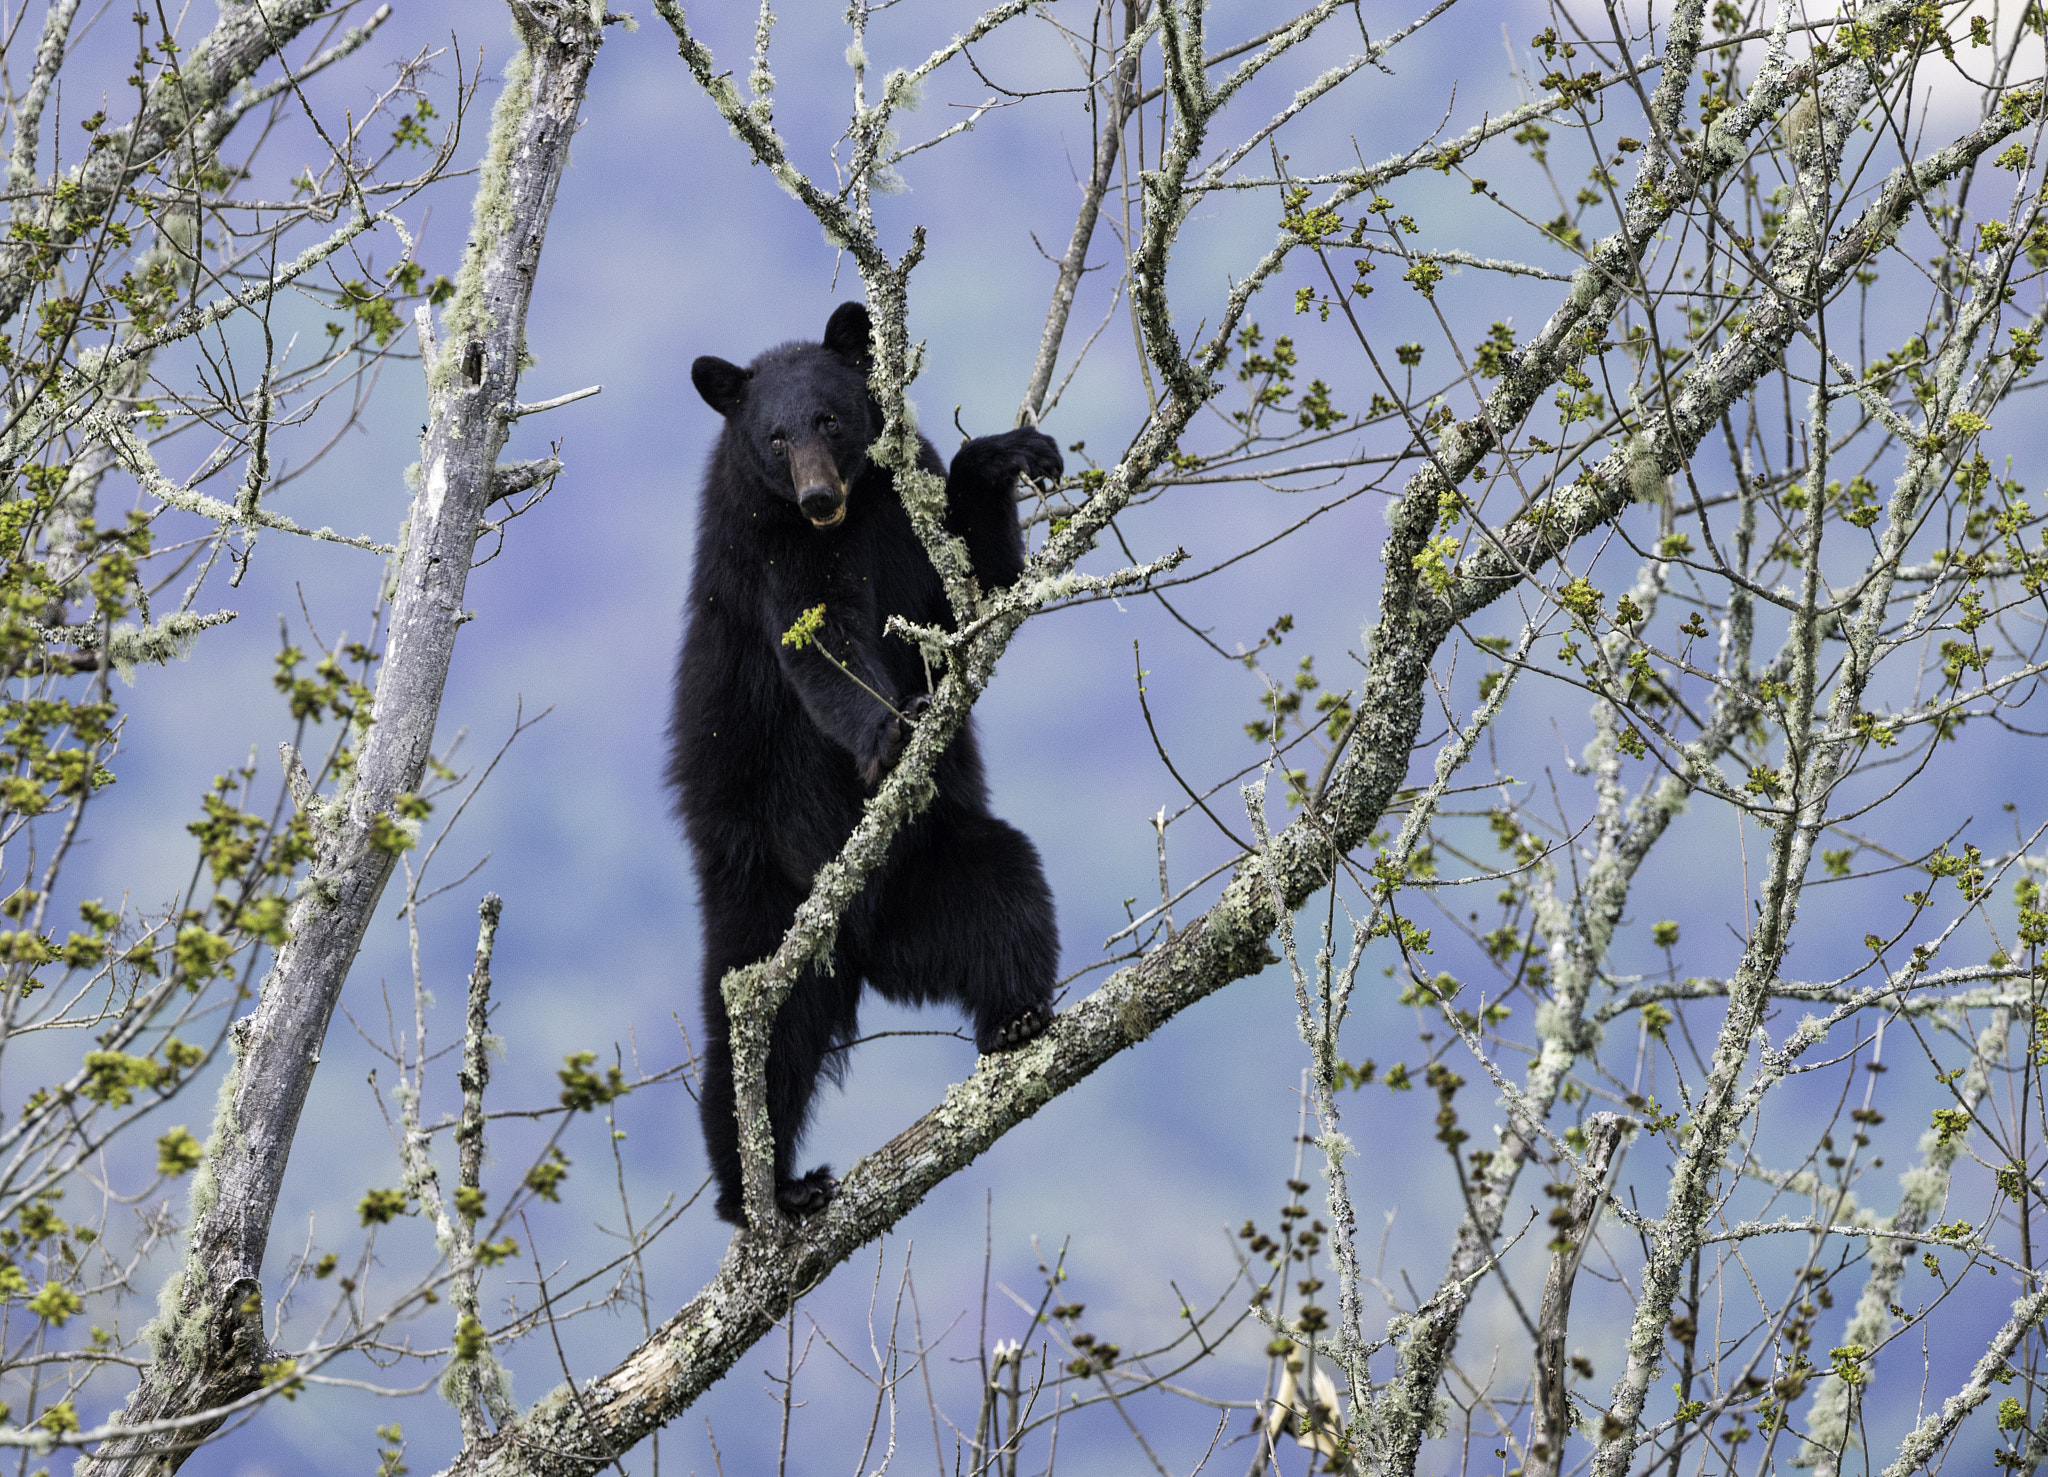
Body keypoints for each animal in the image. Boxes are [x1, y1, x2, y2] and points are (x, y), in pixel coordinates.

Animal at [671, 299, 1064, 1220]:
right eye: (774, 437)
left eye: (829, 419)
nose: (818, 495)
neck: (851, 520)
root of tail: (860, 948)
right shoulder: (773, 551)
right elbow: (822, 641)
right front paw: (889, 731)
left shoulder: (902, 509)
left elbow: (976, 586)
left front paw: (1009, 455)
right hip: (760, 894)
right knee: (759, 1042)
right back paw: (766, 1189)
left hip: (939, 875)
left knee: (1007, 896)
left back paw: (1016, 1019)